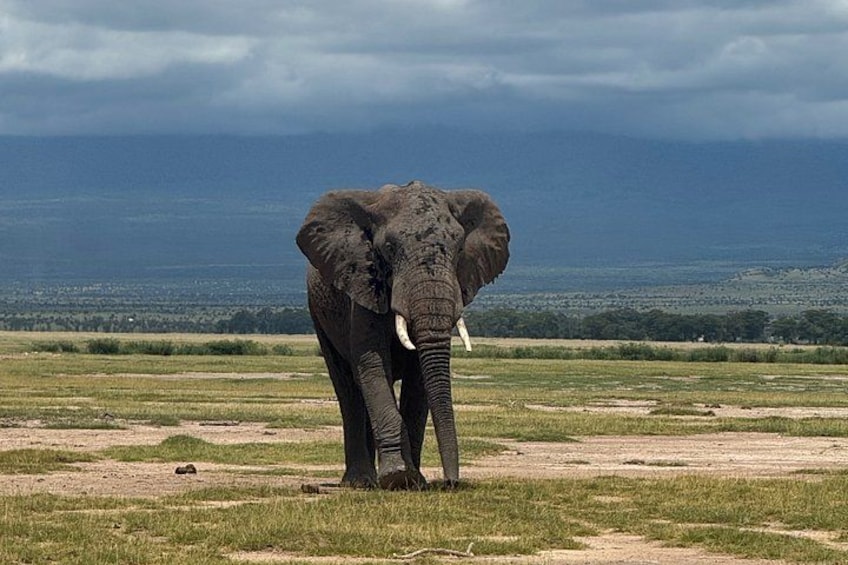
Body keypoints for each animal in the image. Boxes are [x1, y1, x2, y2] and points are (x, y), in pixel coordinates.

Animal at [296, 180, 510, 489]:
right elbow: (373, 363)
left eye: (459, 249)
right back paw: (359, 482)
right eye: (389, 248)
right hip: (319, 313)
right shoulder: (365, 285)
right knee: (348, 388)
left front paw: (413, 481)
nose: (451, 482)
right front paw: (397, 476)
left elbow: (419, 378)